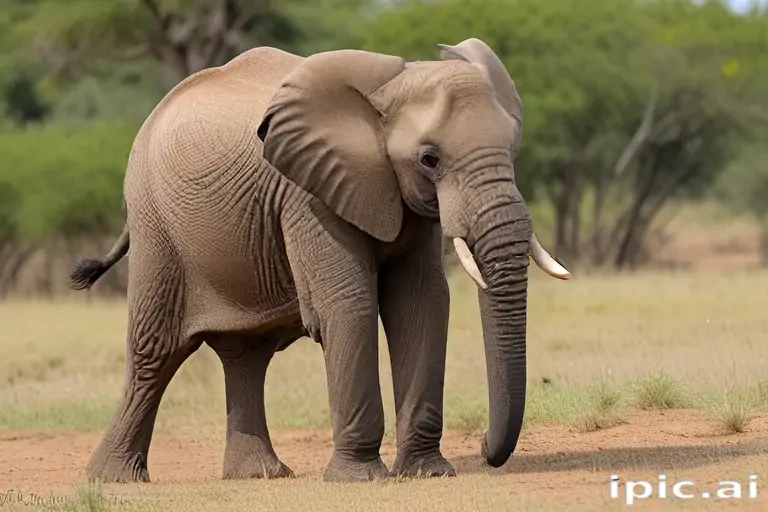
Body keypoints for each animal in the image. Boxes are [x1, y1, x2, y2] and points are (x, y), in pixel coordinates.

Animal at [68, 37, 570, 484]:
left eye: (513, 147)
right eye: (429, 159)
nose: (485, 445)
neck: (388, 89)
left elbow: (422, 305)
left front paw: (427, 473)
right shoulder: (309, 194)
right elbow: (350, 305)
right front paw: (359, 479)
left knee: (248, 353)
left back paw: (259, 475)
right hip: (157, 228)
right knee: (156, 351)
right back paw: (113, 479)